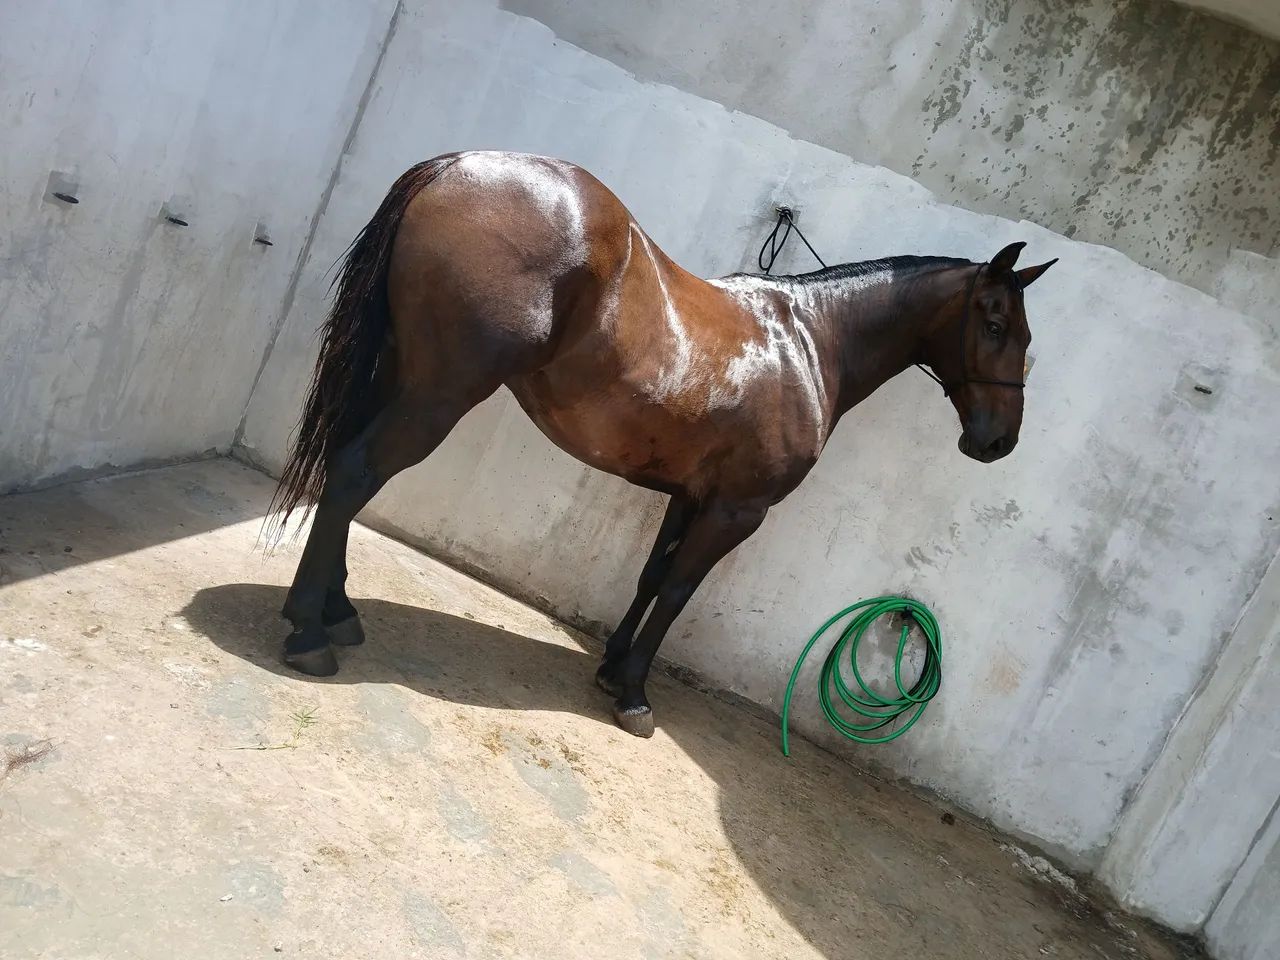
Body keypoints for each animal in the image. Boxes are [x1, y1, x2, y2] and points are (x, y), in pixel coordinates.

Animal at [269, 150, 1056, 738]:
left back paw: (336, 611)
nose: (999, 440)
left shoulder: (688, 493)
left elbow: (650, 578)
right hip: (437, 394)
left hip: (397, 376)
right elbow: (678, 589)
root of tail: (455, 166)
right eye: (994, 323)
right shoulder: (737, 510)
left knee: (346, 468)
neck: (807, 342)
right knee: (355, 473)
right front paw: (634, 693)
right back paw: (309, 631)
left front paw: (612, 665)